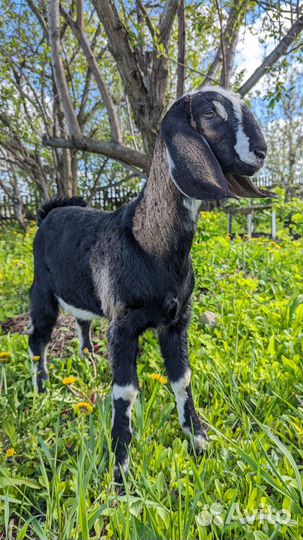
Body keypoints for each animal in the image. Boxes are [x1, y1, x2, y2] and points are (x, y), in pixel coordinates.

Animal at [28, 86, 272, 484]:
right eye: (208, 113)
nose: (262, 151)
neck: (151, 245)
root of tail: (48, 212)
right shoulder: (124, 326)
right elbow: (125, 393)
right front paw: (120, 472)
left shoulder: (176, 322)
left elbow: (183, 379)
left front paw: (199, 443)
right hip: (42, 292)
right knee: (37, 340)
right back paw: (41, 389)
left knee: (82, 319)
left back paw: (88, 358)